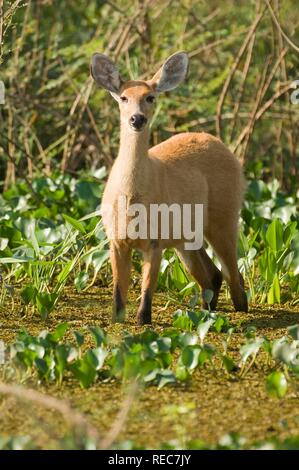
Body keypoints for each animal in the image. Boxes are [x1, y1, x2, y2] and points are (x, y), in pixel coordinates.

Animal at [90, 50, 250, 324]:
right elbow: (118, 293)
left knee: (235, 279)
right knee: (213, 275)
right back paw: (206, 310)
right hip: (186, 237)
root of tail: (221, 144)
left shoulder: (155, 241)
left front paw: (143, 320)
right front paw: (116, 321)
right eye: (123, 97)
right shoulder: (116, 240)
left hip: (224, 218)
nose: (137, 119)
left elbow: (147, 290)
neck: (131, 200)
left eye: (150, 97)